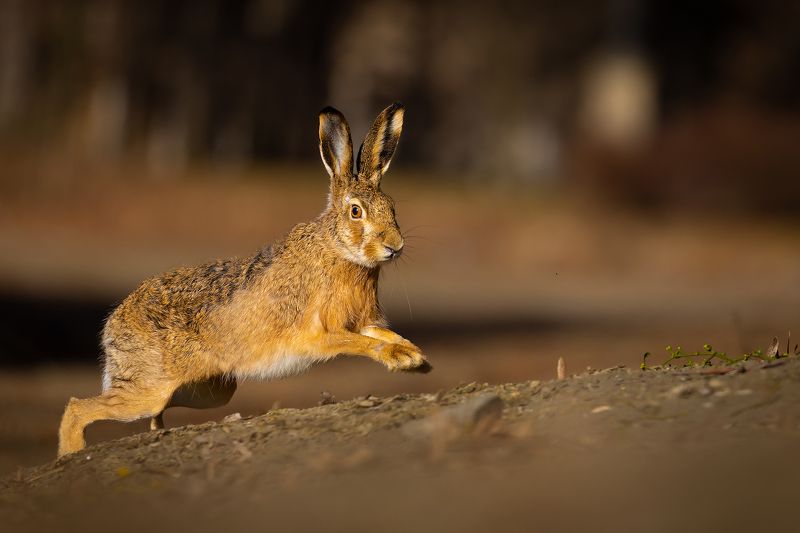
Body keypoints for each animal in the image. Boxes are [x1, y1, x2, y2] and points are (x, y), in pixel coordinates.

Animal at [58, 102, 431, 457]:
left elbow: (383, 334)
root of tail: (112, 325)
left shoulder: (363, 321)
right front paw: (401, 359)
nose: (394, 246)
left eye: (392, 207)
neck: (338, 249)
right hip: (149, 388)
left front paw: (416, 358)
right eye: (356, 212)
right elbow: (362, 343)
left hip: (211, 390)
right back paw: (70, 453)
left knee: (154, 411)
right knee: (79, 408)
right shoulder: (320, 333)